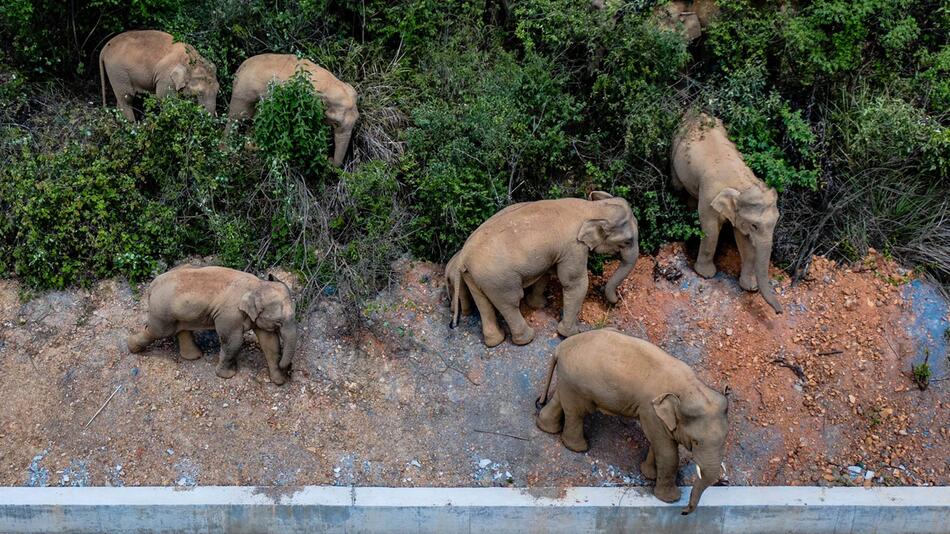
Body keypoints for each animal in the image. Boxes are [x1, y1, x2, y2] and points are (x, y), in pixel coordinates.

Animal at [126, 266, 298, 386]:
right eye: (279, 322)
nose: (289, 369)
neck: (257, 285)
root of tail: (152, 284)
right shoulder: (229, 315)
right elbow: (234, 342)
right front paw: (227, 375)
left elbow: (270, 343)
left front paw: (279, 381)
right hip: (162, 311)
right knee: (157, 331)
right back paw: (132, 348)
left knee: (181, 329)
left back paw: (194, 357)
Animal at [228, 54, 360, 168]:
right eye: (336, 123)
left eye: (357, 120)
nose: (329, 158)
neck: (331, 84)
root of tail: (240, 68)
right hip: (242, 94)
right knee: (235, 119)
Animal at [446, 192, 640, 348]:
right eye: (628, 241)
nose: (616, 301)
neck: (592, 208)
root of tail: (463, 257)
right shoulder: (574, 247)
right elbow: (575, 283)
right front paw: (571, 333)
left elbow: (545, 273)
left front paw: (540, 305)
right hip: (498, 279)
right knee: (510, 302)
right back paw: (527, 339)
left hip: (475, 277)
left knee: (484, 303)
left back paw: (495, 341)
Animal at [540, 328, 732, 516]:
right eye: (696, 442)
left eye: (724, 440)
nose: (684, 512)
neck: (690, 388)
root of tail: (561, 347)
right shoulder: (650, 410)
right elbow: (667, 452)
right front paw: (670, 499)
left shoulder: (656, 415)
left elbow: (658, 443)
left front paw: (649, 475)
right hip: (578, 383)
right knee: (577, 412)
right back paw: (579, 448)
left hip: (569, 380)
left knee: (561, 399)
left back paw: (547, 428)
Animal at [672, 113, 784, 314]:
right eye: (755, 225)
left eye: (776, 222)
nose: (779, 312)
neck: (742, 184)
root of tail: (696, 112)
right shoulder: (709, 195)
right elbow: (710, 229)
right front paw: (706, 275)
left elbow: (744, 240)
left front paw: (750, 287)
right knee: (677, 186)